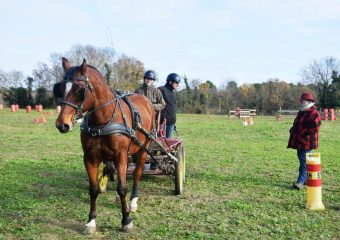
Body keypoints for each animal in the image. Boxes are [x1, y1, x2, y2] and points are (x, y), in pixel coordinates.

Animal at [53, 57, 155, 233]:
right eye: (60, 88)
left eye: (79, 89)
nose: (62, 124)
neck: (103, 121)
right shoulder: (90, 158)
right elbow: (93, 189)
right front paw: (91, 221)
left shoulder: (121, 155)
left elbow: (122, 188)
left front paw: (126, 219)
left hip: (143, 148)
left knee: (137, 174)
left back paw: (133, 201)